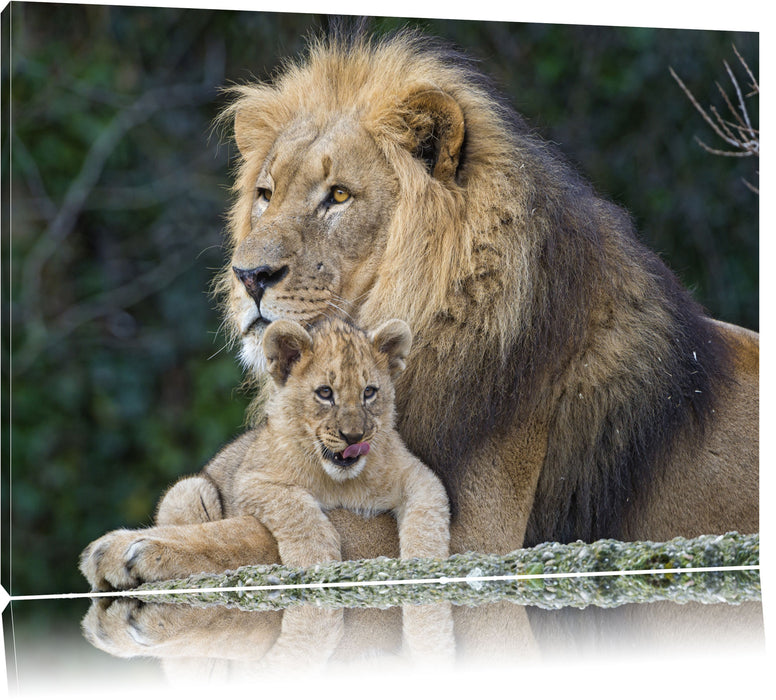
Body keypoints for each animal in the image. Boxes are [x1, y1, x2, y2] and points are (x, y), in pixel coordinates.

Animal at [82, 32, 756, 592]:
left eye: (339, 196)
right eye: (266, 194)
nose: (248, 276)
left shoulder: (481, 535)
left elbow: (289, 530)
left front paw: (136, 545)